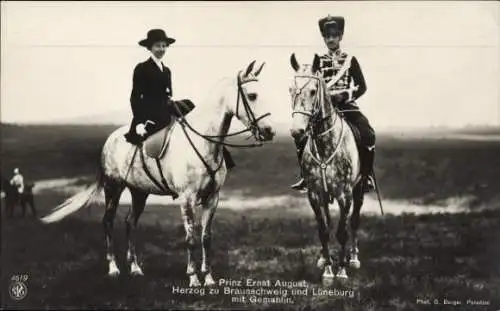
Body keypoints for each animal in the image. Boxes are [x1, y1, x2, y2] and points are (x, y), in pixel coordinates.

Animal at [41, 60, 276, 288]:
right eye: (252, 95)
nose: (270, 132)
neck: (204, 142)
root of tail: (111, 138)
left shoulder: (213, 197)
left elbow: (206, 237)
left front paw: (208, 278)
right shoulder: (187, 198)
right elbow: (190, 237)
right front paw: (193, 278)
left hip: (139, 192)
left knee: (130, 222)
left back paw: (135, 268)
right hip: (113, 187)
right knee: (108, 222)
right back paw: (114, 268)